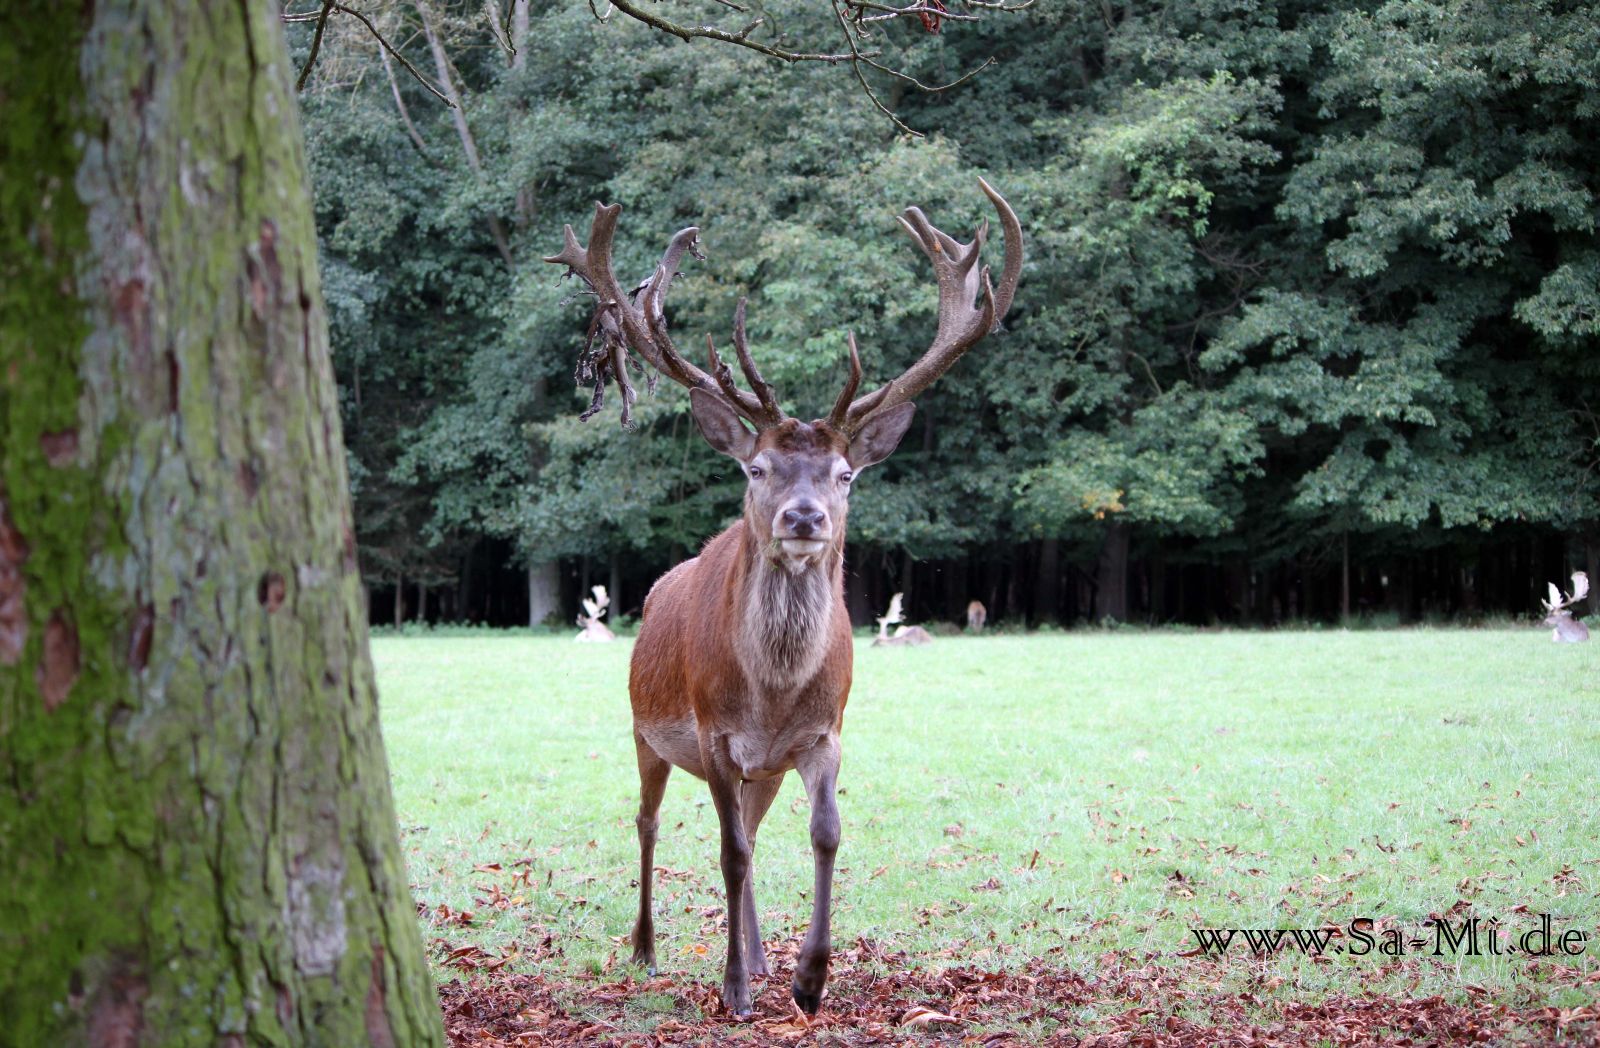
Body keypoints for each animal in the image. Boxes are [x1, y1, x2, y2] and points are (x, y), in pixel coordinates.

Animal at [550, 180, 1017, 1017]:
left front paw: (808, 976)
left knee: (751, 828)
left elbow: (824, 832)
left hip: (759, 770)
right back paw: (646, 947)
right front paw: (734, 989)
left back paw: (763, 954)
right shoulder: (713, 733)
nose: (804, 518)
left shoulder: (823, 732)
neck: (770, 693)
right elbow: (728, 851)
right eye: (758, 468)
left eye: (845, 473)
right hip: (645, 729)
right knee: (650, 821)